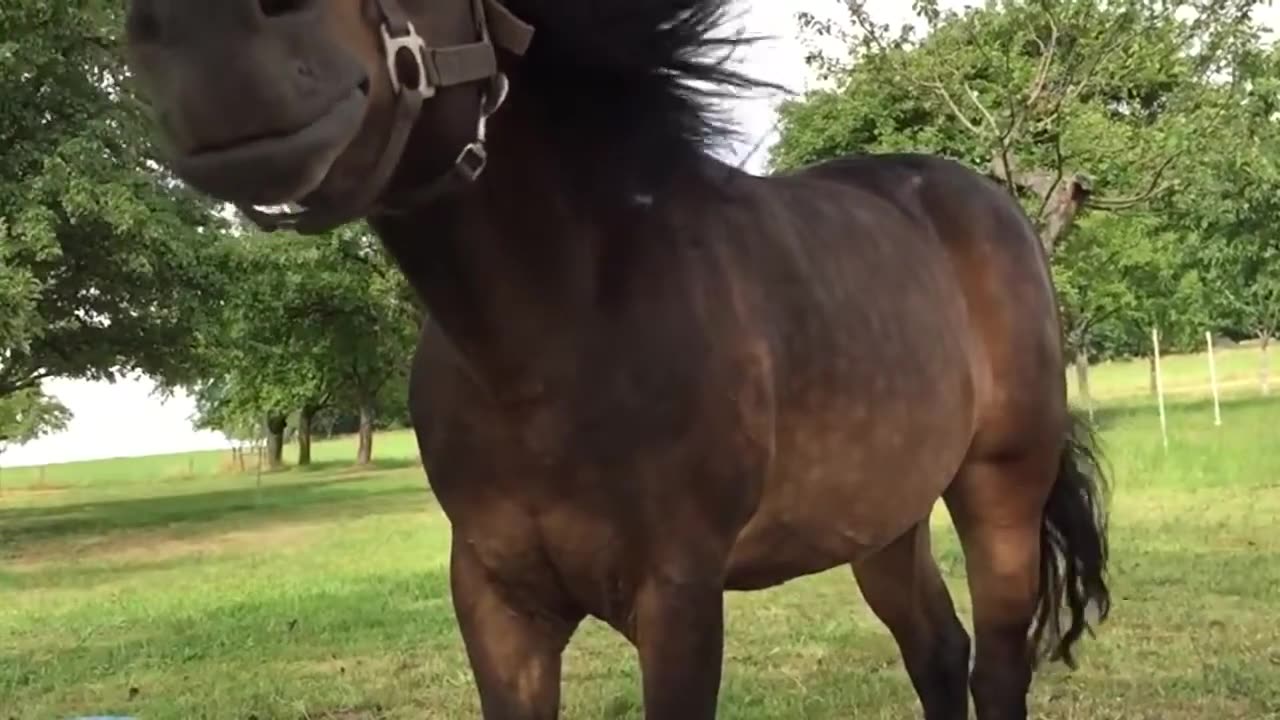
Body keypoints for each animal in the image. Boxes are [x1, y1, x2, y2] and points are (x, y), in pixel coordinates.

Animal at [124, 2, 1116, 712]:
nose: (204, 45)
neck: (551, 344)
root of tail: (991, 206)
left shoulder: (677, 599)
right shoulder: (499, 605)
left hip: (998, 490)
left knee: (996, 670)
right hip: (882, 518)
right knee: (938, 655)